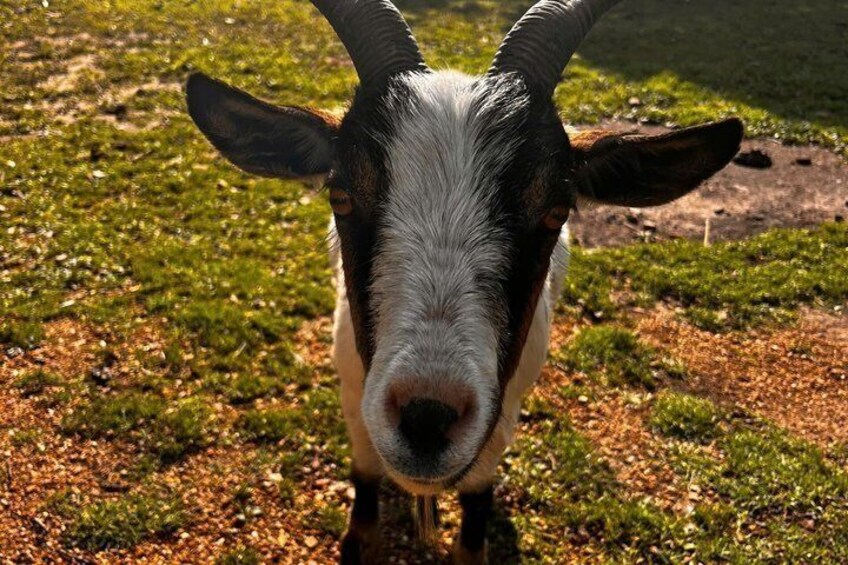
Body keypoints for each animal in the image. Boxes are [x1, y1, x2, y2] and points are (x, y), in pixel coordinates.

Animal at [185, 1, 742, 563]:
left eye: (555, 212)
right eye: (341, 196)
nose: (426, 419)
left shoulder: (503, 410)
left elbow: (477, 500)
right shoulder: (353, 390)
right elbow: (363, 478)